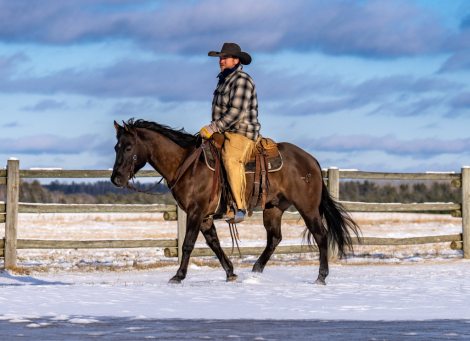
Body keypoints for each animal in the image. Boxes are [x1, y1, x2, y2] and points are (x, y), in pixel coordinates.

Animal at [111, 119, 360, 284]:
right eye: (116, 147)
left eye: (129, 147)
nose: (116, 179)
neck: (187, 164)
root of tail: (312, 161)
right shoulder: (204, 216)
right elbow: (214, 243)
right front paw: (230, 272)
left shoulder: (195, 211)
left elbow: (188, 244)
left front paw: (178, 276)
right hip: (273, 208)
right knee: (275, 238)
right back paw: (256, 269)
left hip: (307, 208)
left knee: (321, 235)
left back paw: (321, 277)